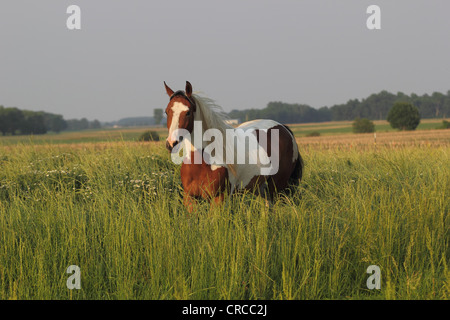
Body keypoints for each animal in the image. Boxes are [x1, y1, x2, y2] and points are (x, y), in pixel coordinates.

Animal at [163, 81, 302, 211]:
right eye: (166, 112)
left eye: (188, 112)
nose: (171, 143)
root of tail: (284, 128)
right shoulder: (190, 199)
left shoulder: (219, 199)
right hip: (261, 187)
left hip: (278, 186)